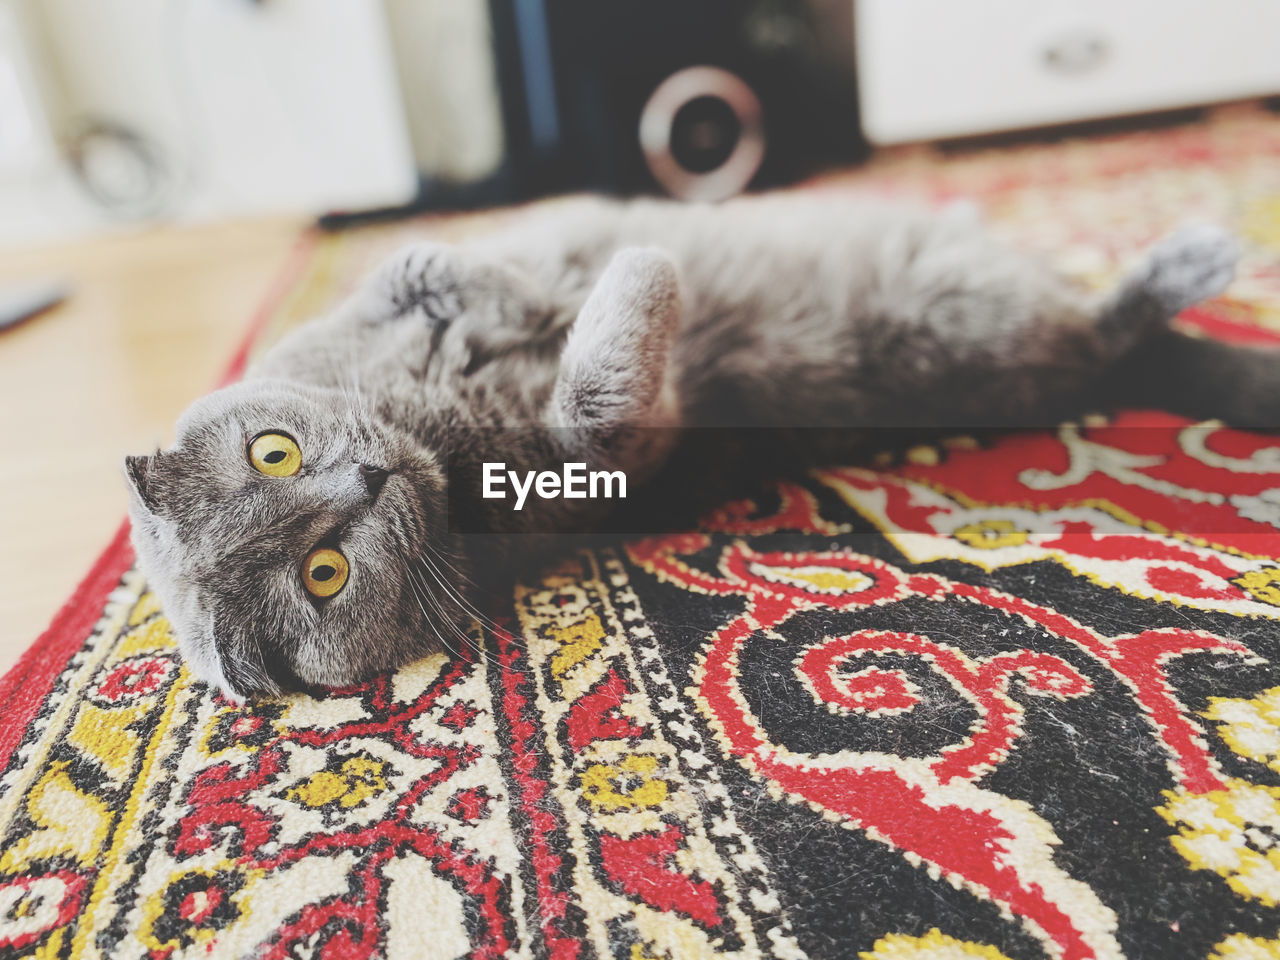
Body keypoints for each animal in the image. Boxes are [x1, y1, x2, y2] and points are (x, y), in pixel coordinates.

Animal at [122, 193, 1259, 701]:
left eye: (273, 452)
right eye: (325, 573)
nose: (363, 476)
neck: (430, 429)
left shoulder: (388, 303)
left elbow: (430, 262)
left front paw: (509, 291)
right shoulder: (606, 458)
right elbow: (600, 392)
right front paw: (637, 276)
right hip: (971, 326)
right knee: (1102, 332)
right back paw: (1200, 257)